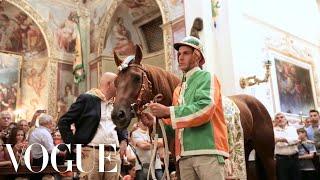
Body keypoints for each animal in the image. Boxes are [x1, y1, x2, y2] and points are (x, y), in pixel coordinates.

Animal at [110, 45, 276, 180]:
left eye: (137, 78)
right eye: (116, 82)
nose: (118, 115)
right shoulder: (177, 159)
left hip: (266, 154)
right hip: (246, 151)